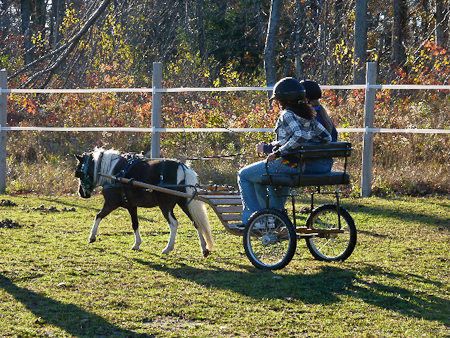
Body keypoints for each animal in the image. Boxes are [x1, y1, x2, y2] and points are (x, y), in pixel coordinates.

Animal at [74, 148, 214, 256]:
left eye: (79, 172)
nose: (81, 193)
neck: (113, 172)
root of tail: (182, 167)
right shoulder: (131, 206)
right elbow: (135, 224)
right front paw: (137, 244)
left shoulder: (111, 203)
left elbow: (98, 216)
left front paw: (92, 237)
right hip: (184, 203)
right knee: (196, 222)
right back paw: (204, 249)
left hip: (165, 206)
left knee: (174, 223)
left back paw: (168, 248)